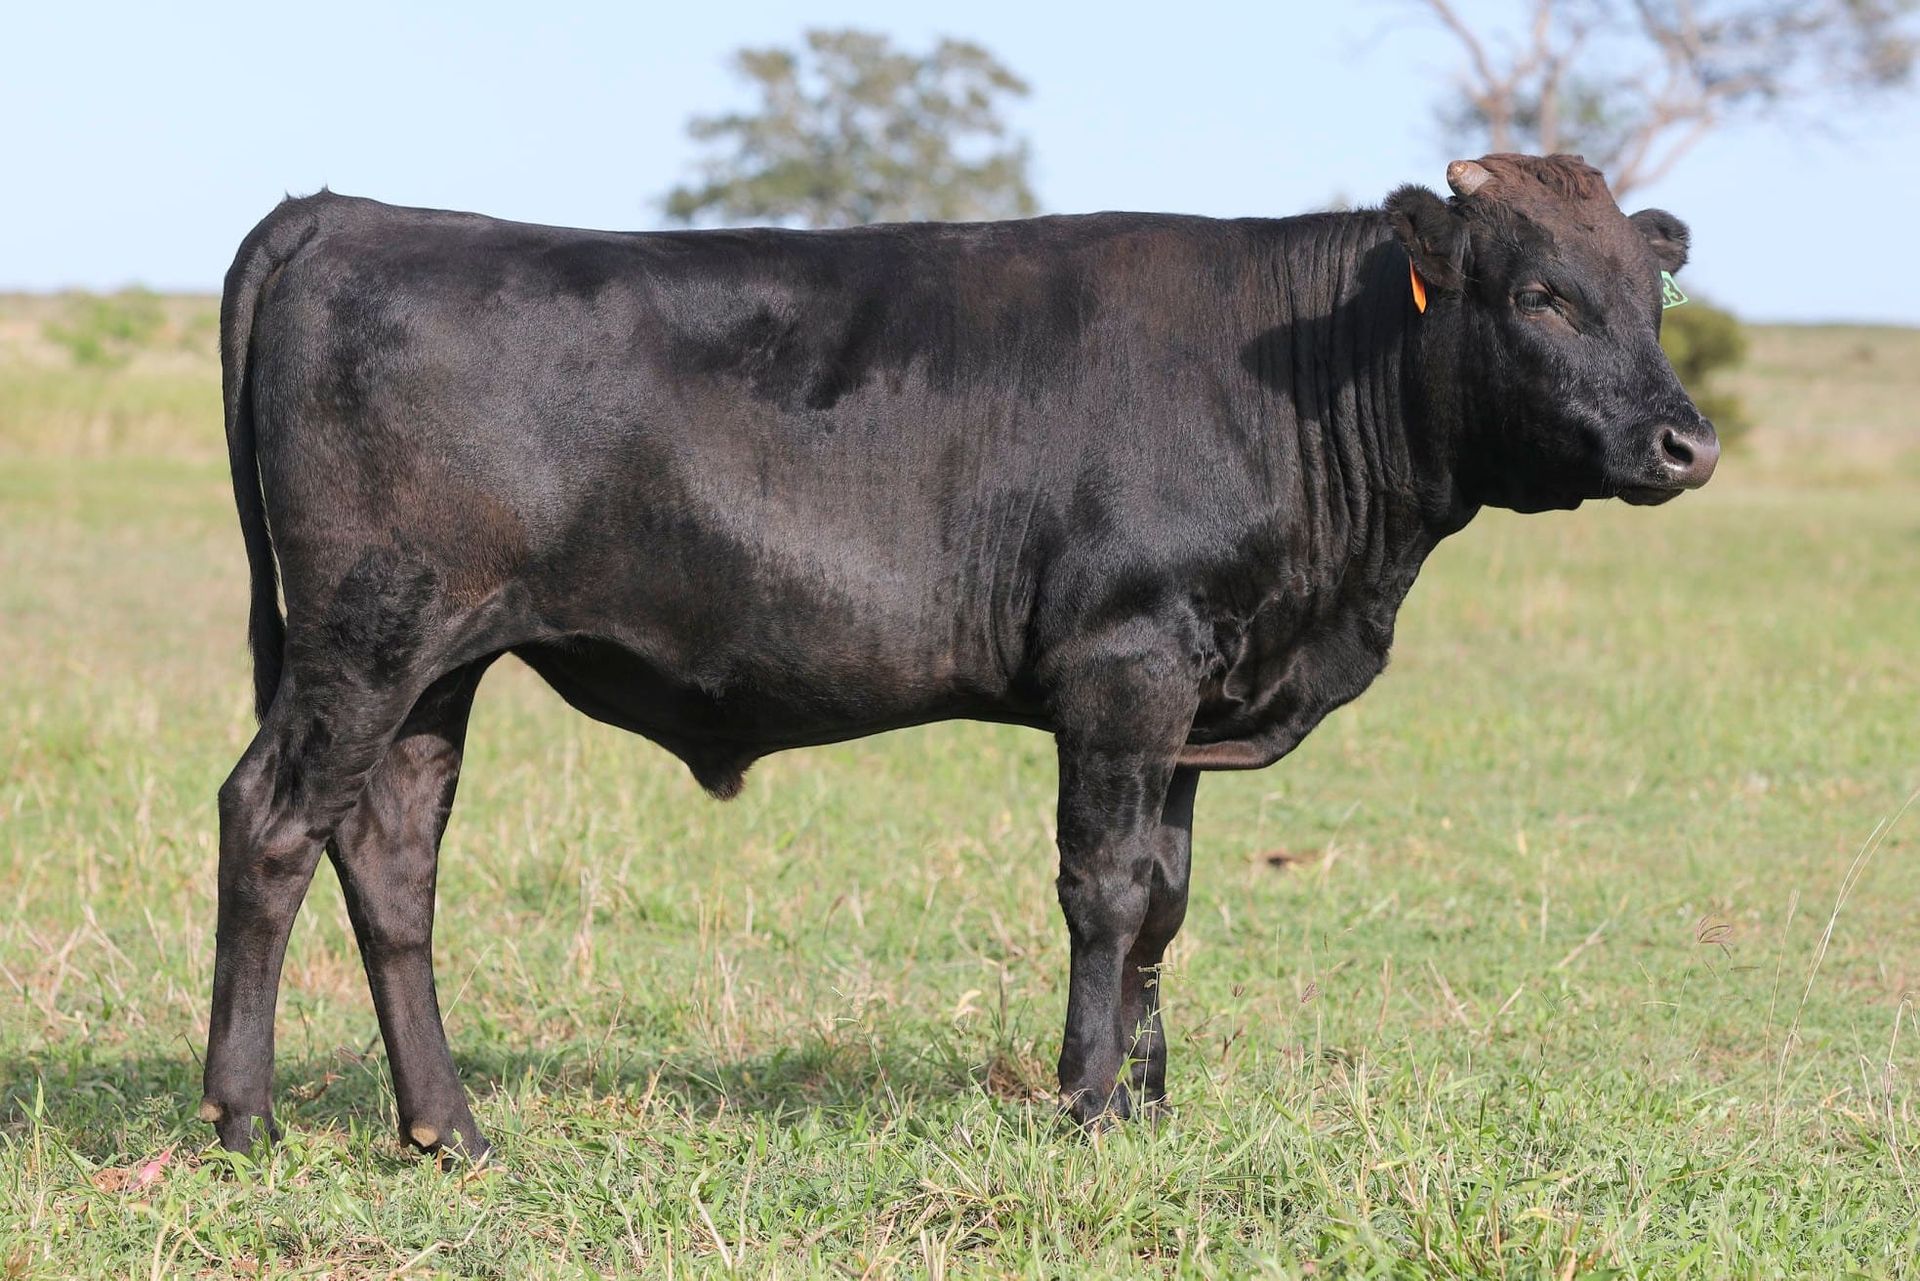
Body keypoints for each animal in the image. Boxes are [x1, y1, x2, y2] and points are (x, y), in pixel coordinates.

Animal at [199, 153, 1717, 1160]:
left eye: (1651, 294)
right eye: (1540, 293)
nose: (1685, 441)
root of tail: (349, 211)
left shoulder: (1189, 693)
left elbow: (1166, 903)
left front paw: (1151, 1102)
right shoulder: (1124, 664)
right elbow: (1105, 891)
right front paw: (1089, 1103)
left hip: (434, 664)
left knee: (389, 855)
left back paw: (447, 1129)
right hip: (370, 634)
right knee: (269, 820)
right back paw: (243, 1115)